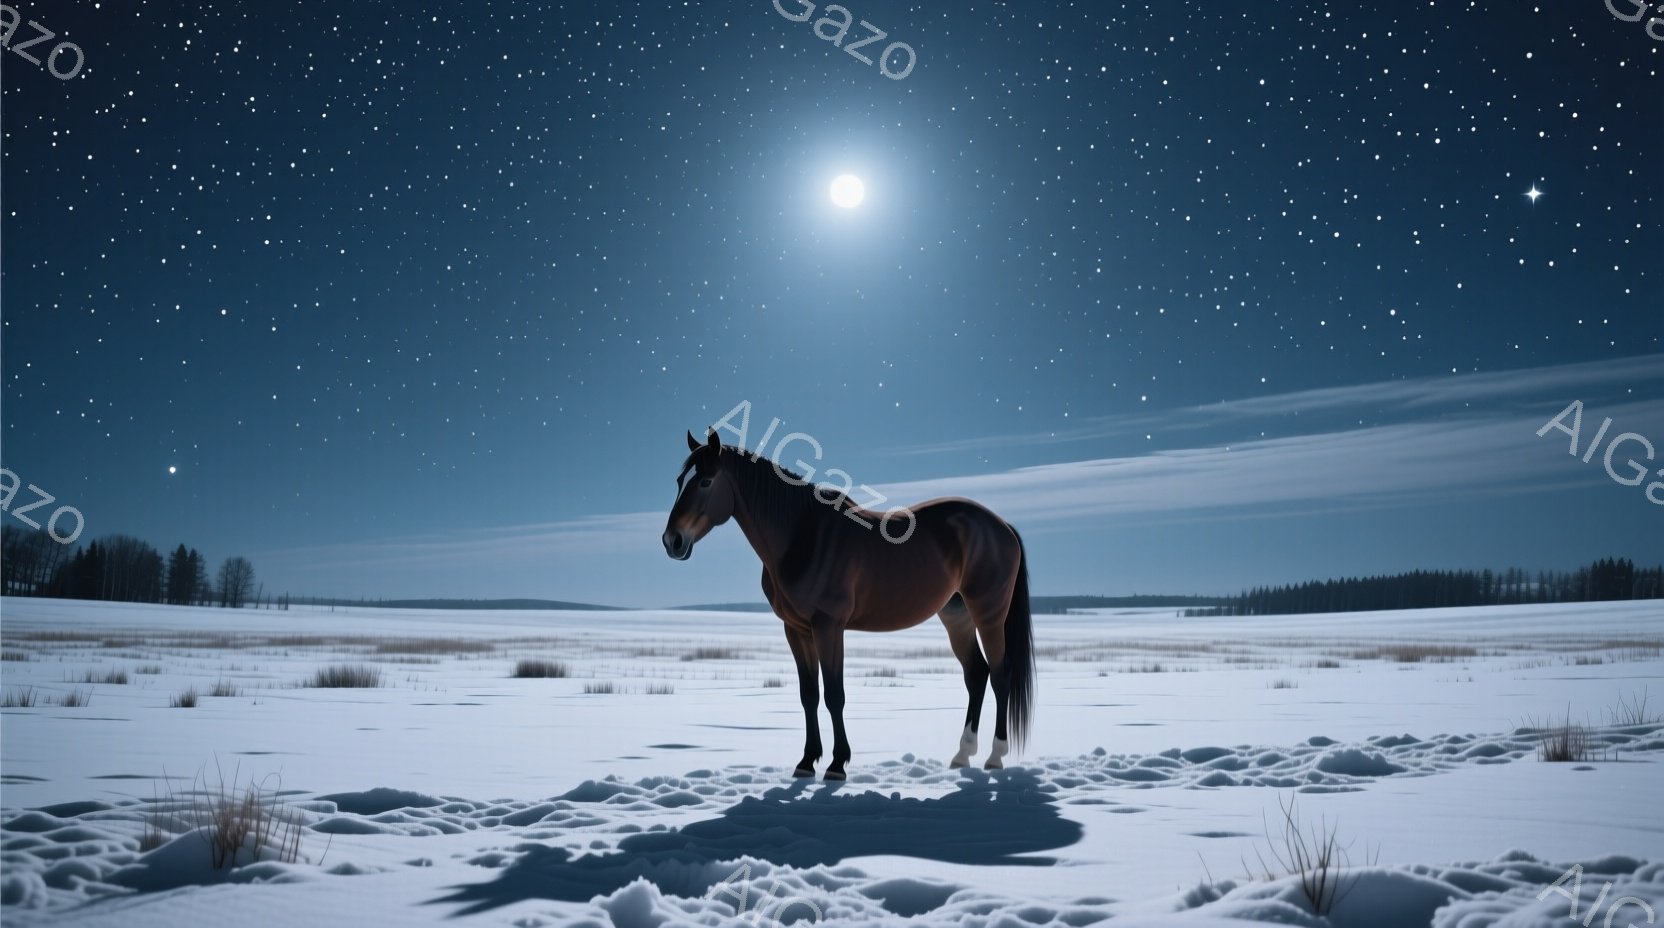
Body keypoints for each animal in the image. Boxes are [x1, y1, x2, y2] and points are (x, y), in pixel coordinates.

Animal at [661, 429, 1034, 780]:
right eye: (680, 481)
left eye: (706, 481)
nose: (672, 541)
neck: (802, 537)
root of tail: (1002, 526)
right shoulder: (796, 630)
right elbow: (809, 695)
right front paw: (806, 762)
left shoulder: (829, 626)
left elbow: (833, 695)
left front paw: (837, 765)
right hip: (956, 616)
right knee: (976, 674)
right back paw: (962, 756)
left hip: (988, 614)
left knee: (1000, 674)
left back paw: (994, 757)